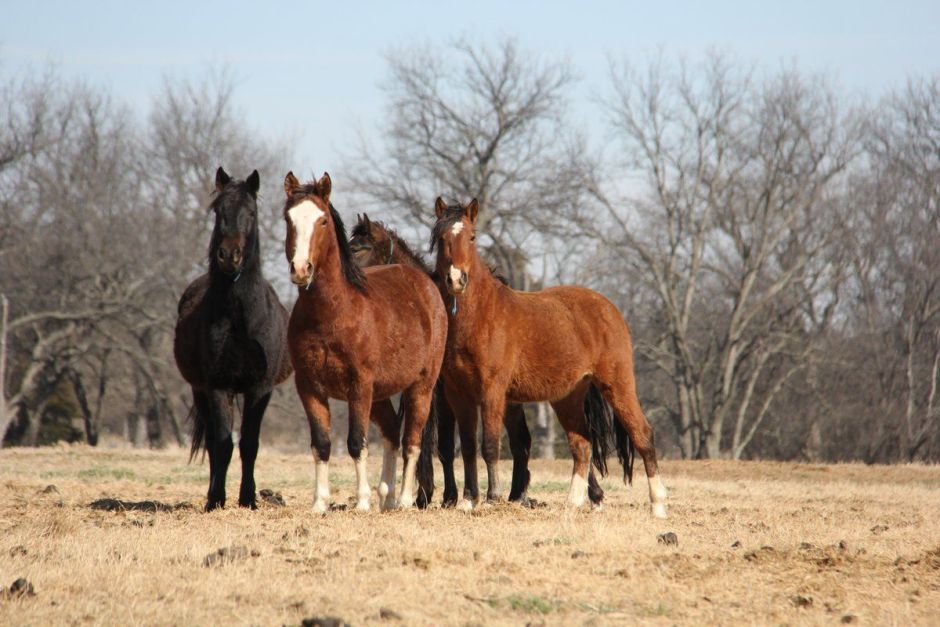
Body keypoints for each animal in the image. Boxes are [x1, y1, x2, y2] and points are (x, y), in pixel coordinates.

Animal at [174, 167, 293, 511]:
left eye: (250, 212)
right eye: (218, 211)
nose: (229, 256)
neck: (241, 319)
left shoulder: (260, 388)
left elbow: (249, 444)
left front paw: (248, 499)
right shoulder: (218, 386)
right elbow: (224, 444)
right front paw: (216, 499)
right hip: (199, 390)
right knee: (213, 442)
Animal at [283, 172, 447, 512]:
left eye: (321, 220)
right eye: (289, 218)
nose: (301, 269)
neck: (332, 312)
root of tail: (426, 284)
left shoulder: (359, 386)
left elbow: (356, 442)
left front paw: (361, 502)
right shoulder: (309, 387)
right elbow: (321, 444)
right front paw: (319, 503)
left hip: (421, 386)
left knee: (412, 441)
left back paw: (406, 499)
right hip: (381, 393)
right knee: (392, 433)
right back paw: (388, 497)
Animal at [349, 214, 536, 507]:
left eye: (359, 249)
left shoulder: (442, 393)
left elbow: (443, 444)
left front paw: (444, 496)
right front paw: (426, 495)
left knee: (520, 440)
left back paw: (518, 494)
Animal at [429, 197, 668, 517]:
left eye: (472, 237)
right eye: (441, 237)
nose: (456, 279)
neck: (482, 315)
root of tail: (609, 307)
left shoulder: (492, 391)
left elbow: (489, 445)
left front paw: (492, 498)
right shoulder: (459, 394)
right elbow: (467, 446)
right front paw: (468, 500)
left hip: (617, 385)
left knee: (643, 435)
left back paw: (658, 506)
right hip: (568, 396)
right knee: (582, 444)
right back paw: (572, 505)